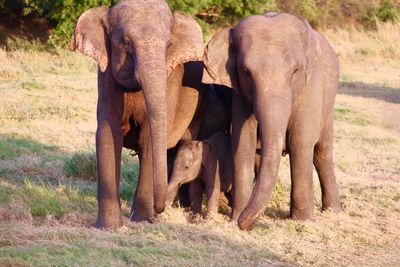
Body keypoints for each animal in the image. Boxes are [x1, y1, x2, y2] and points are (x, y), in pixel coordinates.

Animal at [69, 0, 205, 230]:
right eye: (125, 42)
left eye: (169, 44)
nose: (160, 210)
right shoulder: (106, 77)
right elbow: (108, 133)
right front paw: (109, 227)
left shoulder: (171, 80)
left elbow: (149, 139)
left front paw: (141, 220)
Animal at [203, 12, 344, 230]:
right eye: (246, 71)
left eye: (295, 71)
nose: (245, 223)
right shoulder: (240, 93)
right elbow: (243, 141)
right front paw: (236, 219)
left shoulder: (312, 85)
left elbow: (300, 142)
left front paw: (303, 221)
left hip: (328, 106)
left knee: (322, 153)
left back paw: (333, 212)